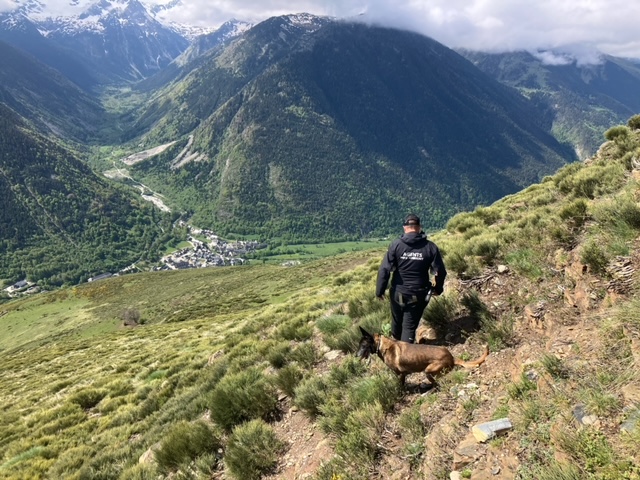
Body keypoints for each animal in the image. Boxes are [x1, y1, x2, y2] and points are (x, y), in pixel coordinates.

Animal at [356, 324, 490, 388]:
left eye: (363, 345)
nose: (356, 356)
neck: (381, 345)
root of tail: (451, 357)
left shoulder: (399, 375)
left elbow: (400, 386)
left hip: (428, 371)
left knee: (436, 382)